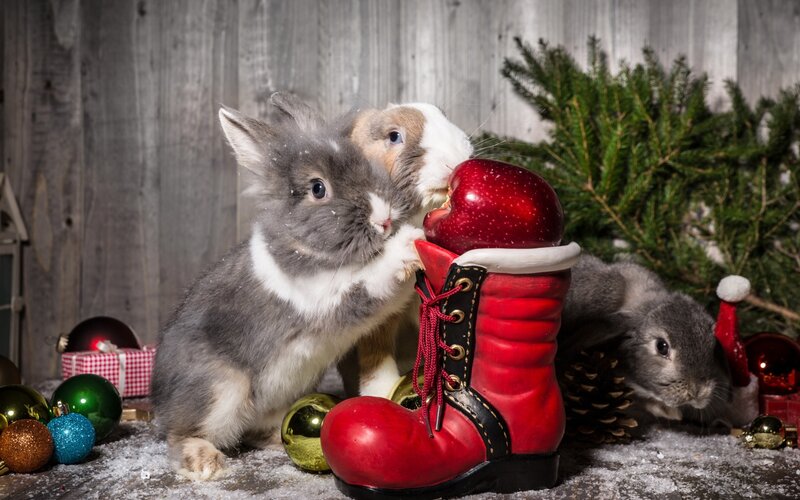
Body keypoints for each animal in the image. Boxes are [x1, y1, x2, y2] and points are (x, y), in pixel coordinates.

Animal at [151, 93, 425, 481]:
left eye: (364, 165)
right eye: (318, 189)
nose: (384, 219)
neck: (305, 247)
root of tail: (160, 404)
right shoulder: (332, 300)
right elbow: (373, 283)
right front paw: (409, 243)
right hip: (220, 387)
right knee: (181, 434)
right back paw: (204, 462)